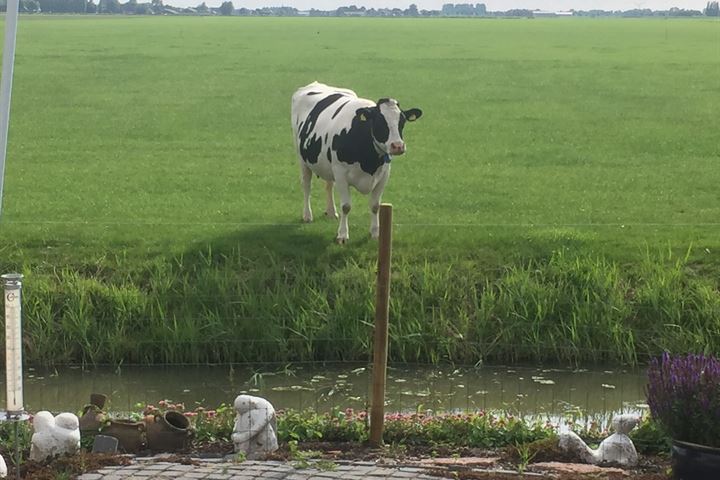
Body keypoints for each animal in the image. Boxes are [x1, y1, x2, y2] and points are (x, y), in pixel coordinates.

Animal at [290, 82, 422, 244]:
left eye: (402, 122)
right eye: (380, 122)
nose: (397, 146)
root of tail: (315, 84)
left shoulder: (384, 175)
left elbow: (375, 206)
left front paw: (375, 233)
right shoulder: (341, 173)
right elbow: (346, 206)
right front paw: (342, 235)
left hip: (328, 164)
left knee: (328, 185)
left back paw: (331, 212)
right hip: (302, 159)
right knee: (306, 186)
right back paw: (307, 215)